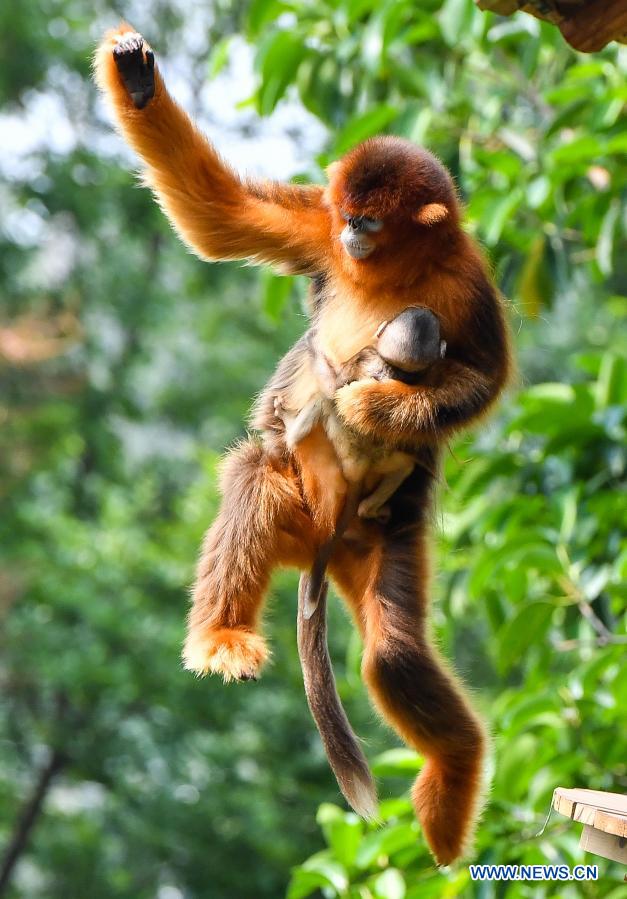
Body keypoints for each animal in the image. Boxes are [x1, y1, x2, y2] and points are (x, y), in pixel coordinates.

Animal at [94, 27, 513, 865]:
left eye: (372, 222)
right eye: (350, 215)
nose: (352, 231)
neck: (399, 267)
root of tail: (323, 537)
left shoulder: (467, 280)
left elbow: (483, 382)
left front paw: (379, 404)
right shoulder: (318, 232)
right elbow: (219, 216)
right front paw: (137, 81)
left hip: (384, 534)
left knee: (393, 653)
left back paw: (455, 767)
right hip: (292, 501)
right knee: (258, 473)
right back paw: (223, 634)